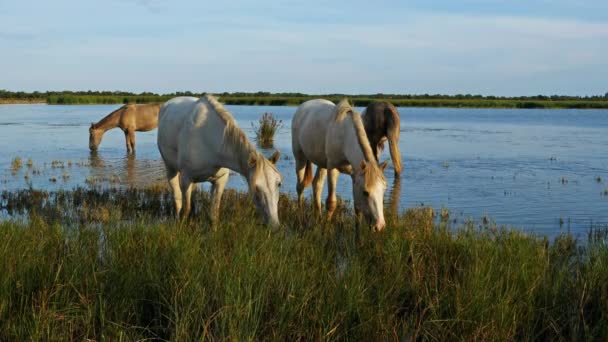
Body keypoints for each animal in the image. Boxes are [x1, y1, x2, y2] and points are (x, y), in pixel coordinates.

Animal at [156, 95, 282, 226]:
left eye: (279, 184)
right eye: (256, 188)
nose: (274, 225)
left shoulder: (220, 180)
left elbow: (214, 213)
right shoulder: (186, 179)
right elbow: (186, 209)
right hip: (171, 169)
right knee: (177, 198)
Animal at [290, 99, 388, 232]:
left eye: (383, 190)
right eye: (365, 192)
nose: (380, 226)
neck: (345, 138)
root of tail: (303, 106)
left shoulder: (355, 175)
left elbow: (358, 208)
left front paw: (358, 236)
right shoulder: (333, 169)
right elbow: (331, 203)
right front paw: (325, 231)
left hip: (322, 164)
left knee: (317, 185)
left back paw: (318, 218)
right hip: (300, 157)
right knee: (300, 186)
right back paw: (300, 219)